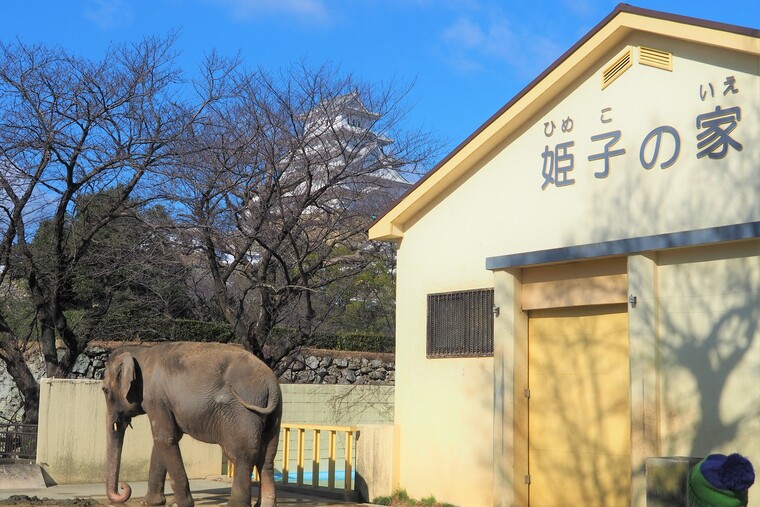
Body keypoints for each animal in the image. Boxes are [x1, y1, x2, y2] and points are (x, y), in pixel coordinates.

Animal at [99, 342, 280, 507]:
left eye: (104, 390)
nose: (124, 487)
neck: (141, 351)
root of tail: (271, 382)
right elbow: (163, 441)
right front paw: (150, 502)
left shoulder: (156, 398)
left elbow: (164, 438)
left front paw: (178, 504)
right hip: (273, 415)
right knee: (266, 458)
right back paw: (265, 505)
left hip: (243, 411)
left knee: (241, 456)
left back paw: (235, 505)